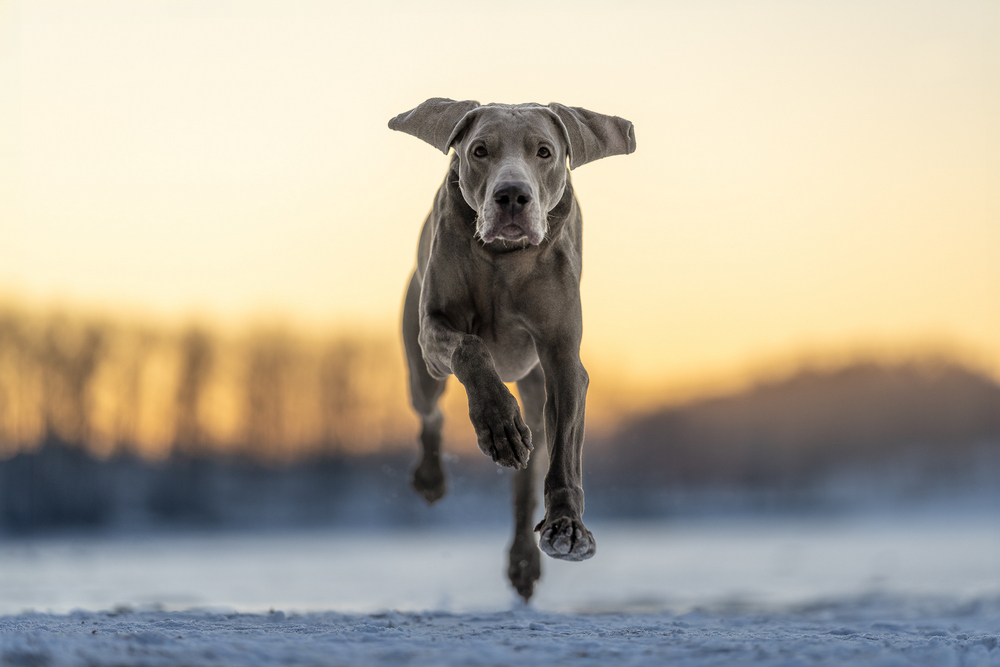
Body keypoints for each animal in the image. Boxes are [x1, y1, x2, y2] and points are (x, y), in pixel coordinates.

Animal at [388, 98, 632, 600]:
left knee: (531, 463)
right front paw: (498, 425)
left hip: (535, 392)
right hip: (420, 371)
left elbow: (565, 452)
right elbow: (470, 348)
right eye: (479, 150)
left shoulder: (561, 357)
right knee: (430, 413)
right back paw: (432, 477)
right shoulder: (434, 330)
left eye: (544, 151)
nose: (512, 195)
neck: (502, 259)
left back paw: (523, 559)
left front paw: (567, 527)